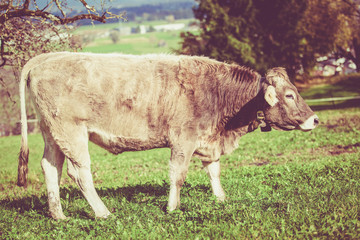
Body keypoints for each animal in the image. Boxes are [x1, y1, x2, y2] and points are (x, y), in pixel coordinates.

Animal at [16, 52, 318, 219]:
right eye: (289, 95)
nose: (314, 119)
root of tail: (48, 57)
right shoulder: (183, 140)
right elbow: (178, 174)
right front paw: (173, 207)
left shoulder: (208, 141)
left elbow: (214, 171)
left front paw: (221, 198)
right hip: (71, 132)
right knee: (79, 173)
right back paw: (103, 213)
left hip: (52, 133)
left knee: (50, 168)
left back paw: (58, 215)